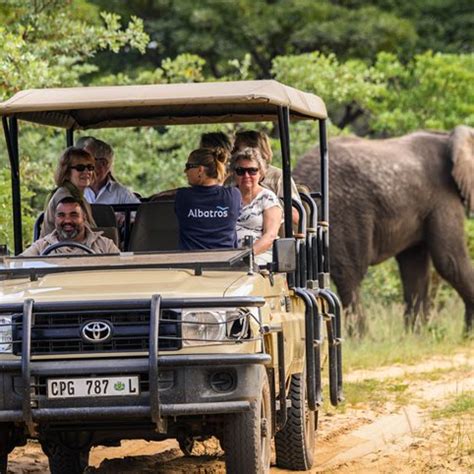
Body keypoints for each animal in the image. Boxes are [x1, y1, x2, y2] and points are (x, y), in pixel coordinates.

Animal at [294, 124, 472, 336]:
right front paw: (468, 335)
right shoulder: (443, 196)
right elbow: (450, 261)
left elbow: (415, 266)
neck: (448, 137)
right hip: (343, 210)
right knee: (349, 274)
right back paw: (361, 339)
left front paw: (414, 336)